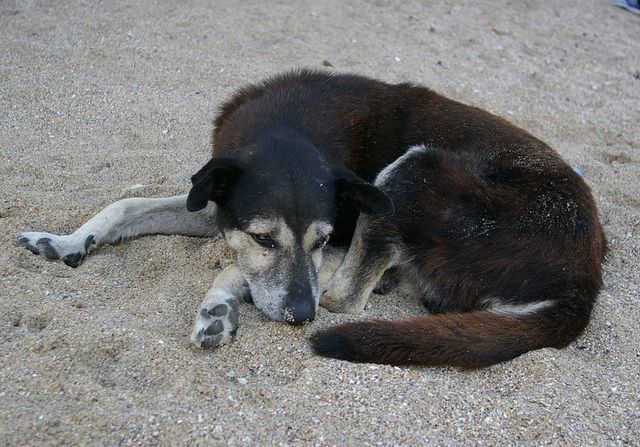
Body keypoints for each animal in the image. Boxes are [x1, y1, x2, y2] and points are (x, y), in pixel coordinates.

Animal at [16, 70, 604, 370]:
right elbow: (127, 206)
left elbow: (286, 277)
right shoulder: (217, 204)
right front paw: (66, 240)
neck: (288, 125)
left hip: (414, 169)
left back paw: (226, 305)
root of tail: (583, 280)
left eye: (321, 239)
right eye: (262, 236)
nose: (300, 316)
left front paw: (223, 302)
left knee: (343, 296)